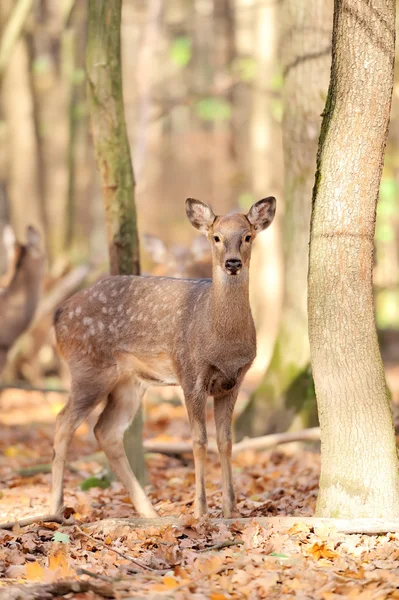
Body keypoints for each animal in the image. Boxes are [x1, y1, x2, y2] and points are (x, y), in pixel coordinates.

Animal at [51, 197, 276, 516]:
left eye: (247, 236)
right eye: (216, 237)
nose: (232, 263)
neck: (222, 343)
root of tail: (59, 314)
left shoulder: (234, 380)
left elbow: (226, 441)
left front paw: (230, 511)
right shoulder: (190, 374)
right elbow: (199, 441)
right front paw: (200, 511)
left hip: (129, 382)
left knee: (106, 431)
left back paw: (149, 513)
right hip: (87, 368)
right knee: (63, 423)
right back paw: (56, 507)